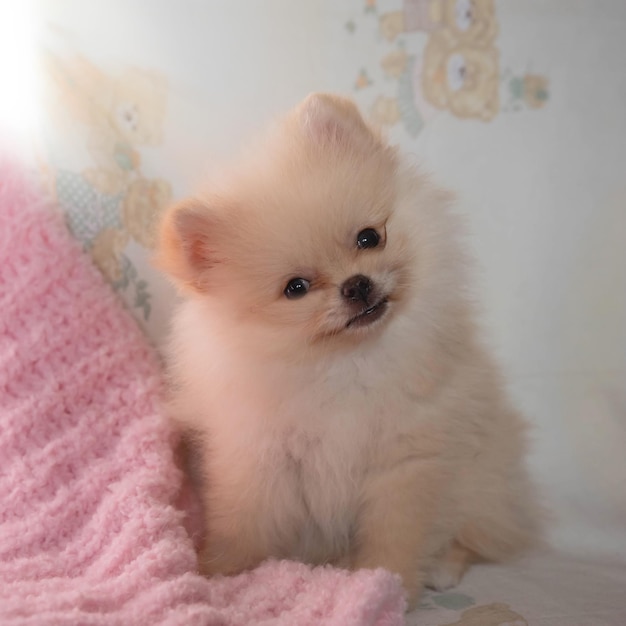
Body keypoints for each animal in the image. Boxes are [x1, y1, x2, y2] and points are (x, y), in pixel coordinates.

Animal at [157, 92, 540, 604]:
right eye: (296, 288)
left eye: (368, 238)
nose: (356, 284)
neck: (343, 364)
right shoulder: (262, 460)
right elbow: (245, 523)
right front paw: (217, 570)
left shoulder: (407, 462)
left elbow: (396, 533)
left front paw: (386, 583)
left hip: (482, 478)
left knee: (475, 531)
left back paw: (442, 566)